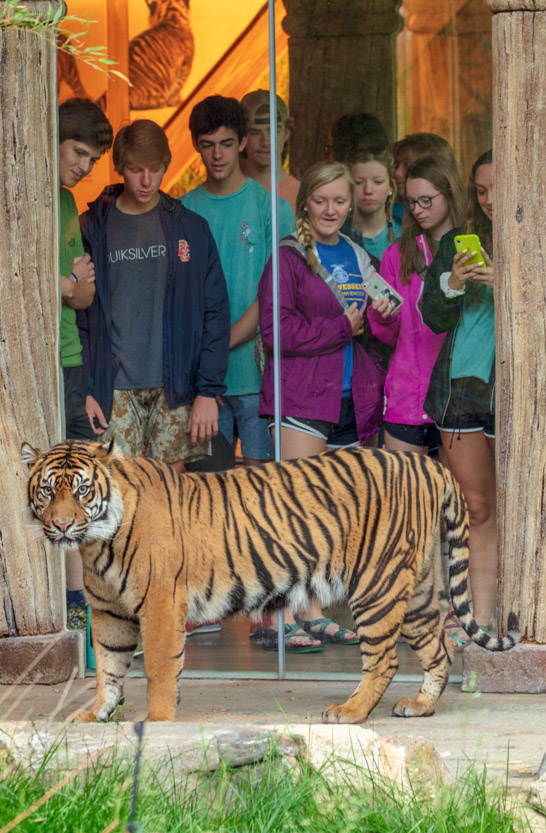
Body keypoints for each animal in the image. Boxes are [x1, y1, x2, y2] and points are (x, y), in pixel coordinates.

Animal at [21, 439, 519, 724]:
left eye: (82, 490)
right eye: (47, 491)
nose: (62, 526)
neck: (95, 543)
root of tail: (427, 464)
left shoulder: (161, 605)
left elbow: (159, 671)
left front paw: (157, 723)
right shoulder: (109, 613)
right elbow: (108, 668)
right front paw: (95, 714)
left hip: (377, 585)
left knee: (385, 659)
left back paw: (349, 712)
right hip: (415, 588)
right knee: (439, 649)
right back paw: (420, 706)